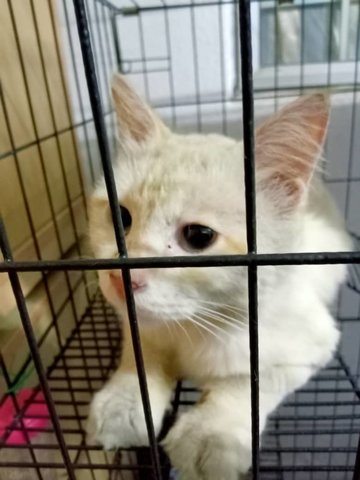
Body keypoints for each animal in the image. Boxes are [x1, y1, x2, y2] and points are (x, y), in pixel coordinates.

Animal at [86, 75, 352, 480]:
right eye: (122, 217)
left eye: (199, 236)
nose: (120, 277)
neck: (192, 329)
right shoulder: (140, 323)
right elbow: (141, 354)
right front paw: (124, 401)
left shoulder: (310, 347)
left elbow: (250, 382)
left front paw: (210, 433)